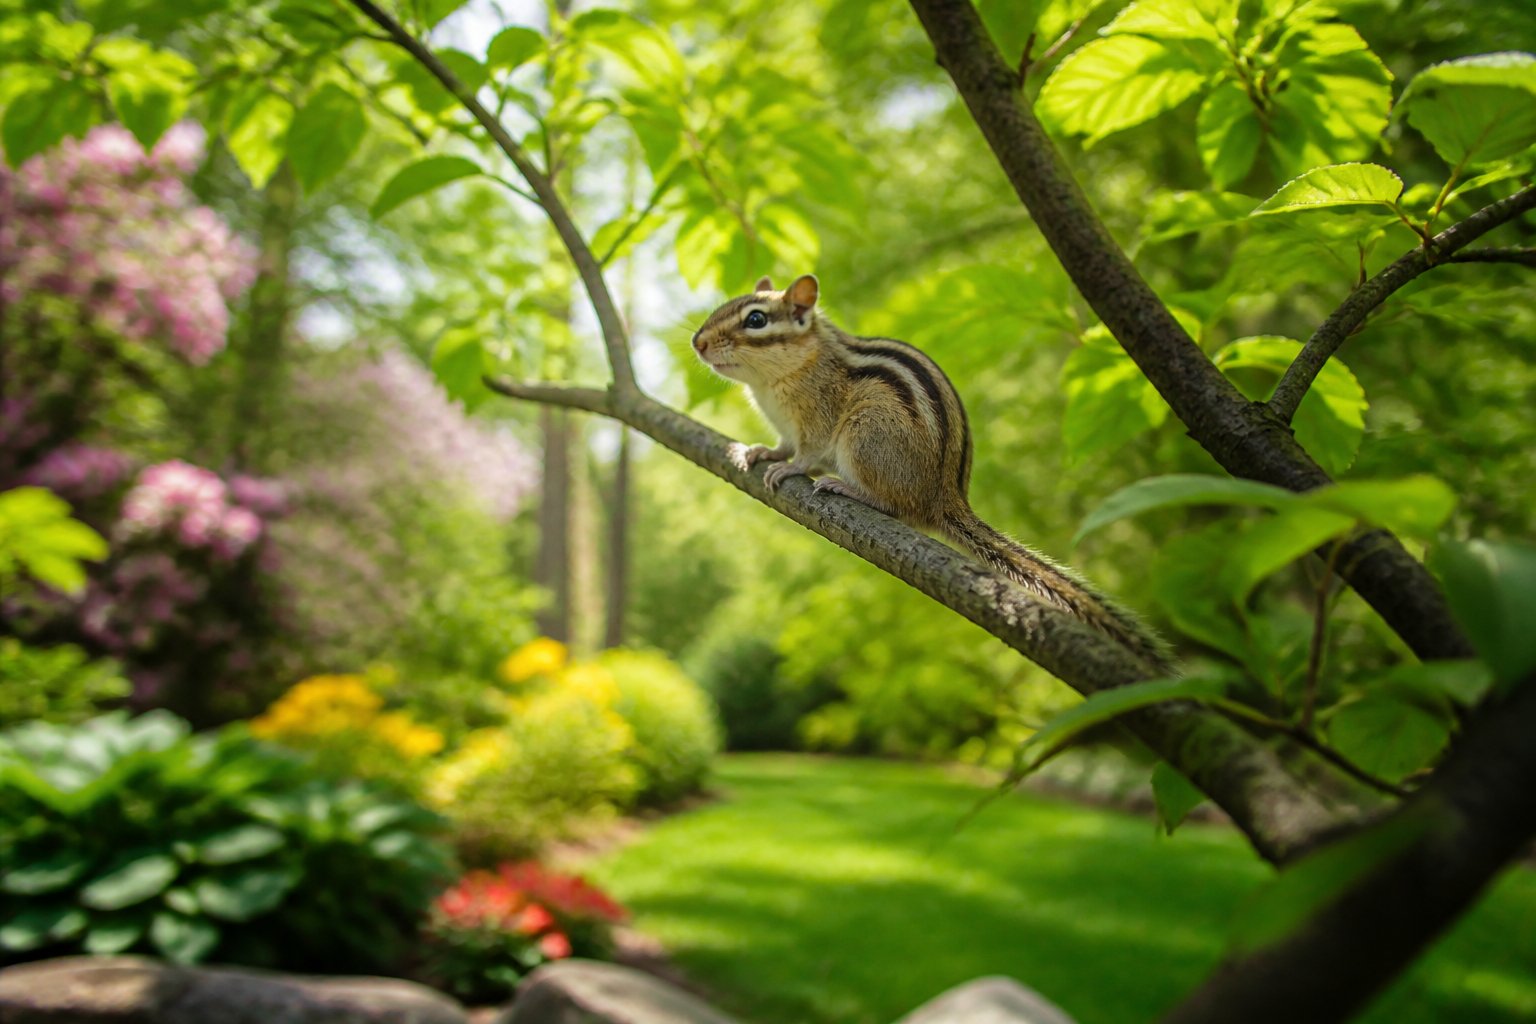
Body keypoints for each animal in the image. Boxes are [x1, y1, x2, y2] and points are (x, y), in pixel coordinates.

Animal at [692, 273, 1171, 671]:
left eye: (756, 319)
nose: (697, 342)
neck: (775, 379)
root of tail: (944, 496)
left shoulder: (817, 418)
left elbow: (806, 453)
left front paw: (788, 469)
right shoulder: (786, 427)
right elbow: (782, 444)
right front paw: (760, 453)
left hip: (867, 433)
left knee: (898, 505)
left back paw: (848, 488)